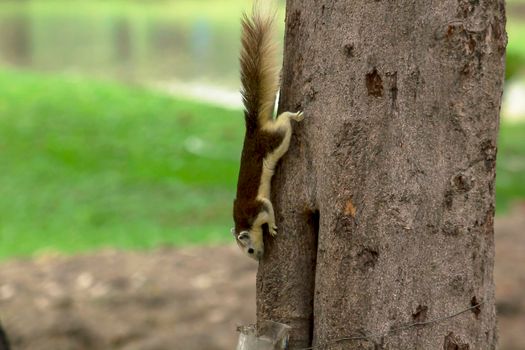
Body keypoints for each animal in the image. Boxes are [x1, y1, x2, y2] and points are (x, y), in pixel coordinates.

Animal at [230, 2, 302, 260]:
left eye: (250, 249)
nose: (259, 256)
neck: (243, 221)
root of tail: (253, 130)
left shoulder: (257, 208)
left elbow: (269, 210)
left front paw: (270, 227)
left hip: (276, 139)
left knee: (283, 123)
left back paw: (293, 116)